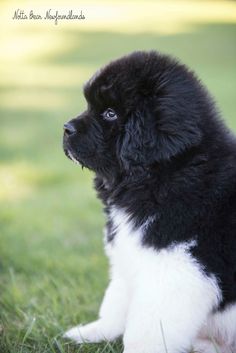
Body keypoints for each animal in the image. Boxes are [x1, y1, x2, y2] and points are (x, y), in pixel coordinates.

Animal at [62, 50, 236, 352]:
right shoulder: (130, 252)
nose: (66, 128)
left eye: (110, 113)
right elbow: (117, 299)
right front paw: (93, 332)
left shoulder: (176, 269)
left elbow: (147, 329)